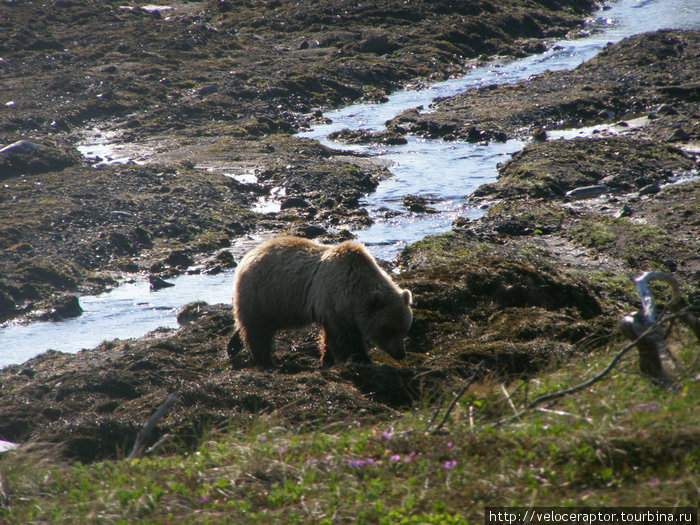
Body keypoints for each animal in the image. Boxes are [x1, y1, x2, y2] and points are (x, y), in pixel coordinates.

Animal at [232, 235, 412, 366]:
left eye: (404, 329)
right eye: (388, 329)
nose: (400, 354)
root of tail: (247, 257)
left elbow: (331, 336)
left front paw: (327, 358)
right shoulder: (335, 303)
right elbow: (344, 337)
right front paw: (359, 358)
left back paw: (234, 346)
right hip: (262, 293)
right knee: (256, 328)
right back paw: (263, 359)